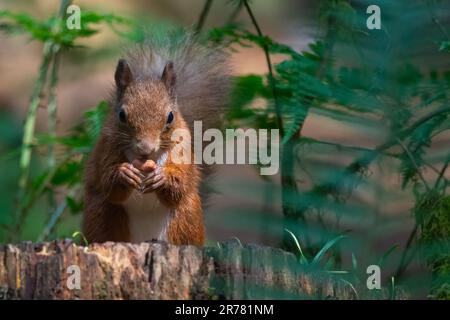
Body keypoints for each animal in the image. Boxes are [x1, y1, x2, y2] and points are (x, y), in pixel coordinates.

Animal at [81, 34, 229, 245]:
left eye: (170, 116)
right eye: (121, 115)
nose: (145, 147)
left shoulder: (182, 149)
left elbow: (179, 185)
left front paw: (163, 178)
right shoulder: (107, 146)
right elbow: (108, 183)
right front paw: (124, 173)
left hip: (186, 217)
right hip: (102, 213)